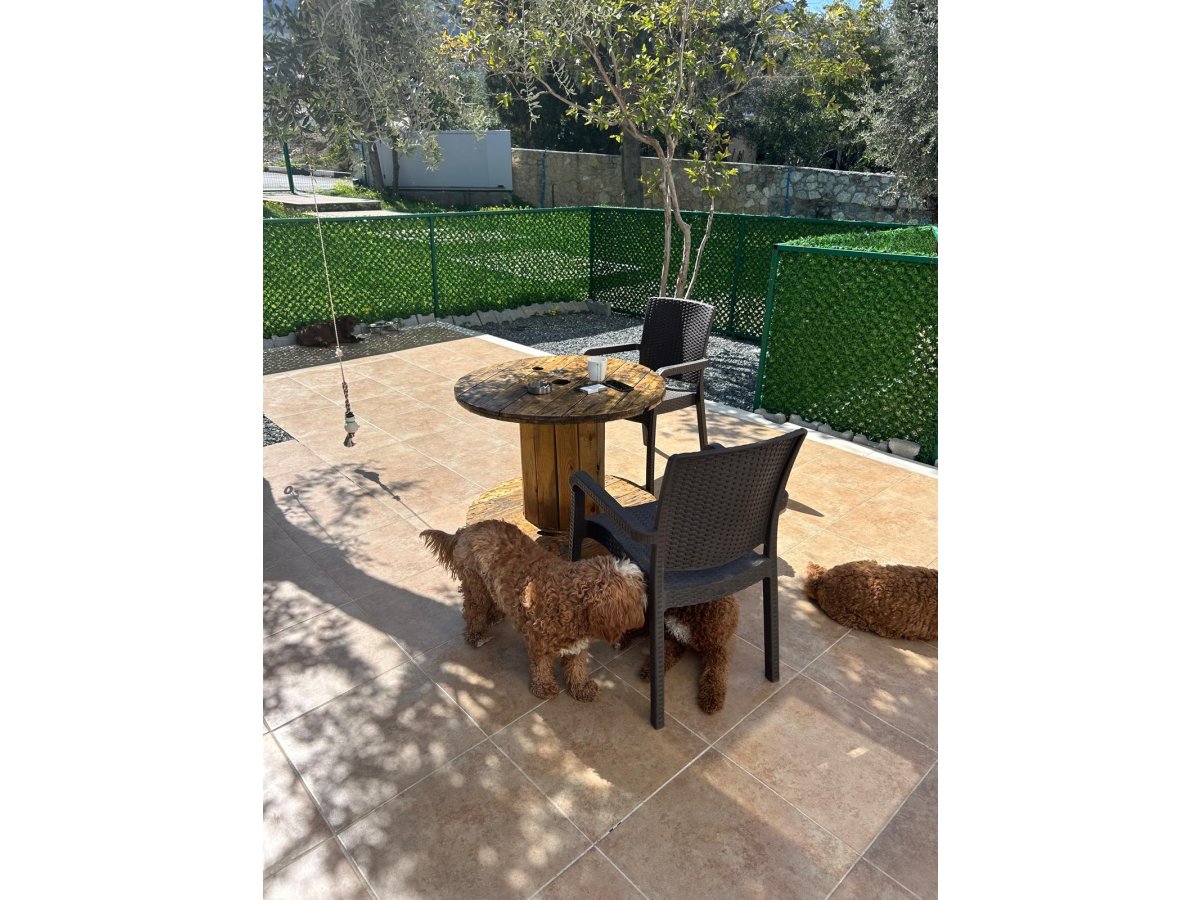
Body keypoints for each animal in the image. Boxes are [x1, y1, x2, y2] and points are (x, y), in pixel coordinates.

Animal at [420, 520, 646, 702]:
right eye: (637, 591)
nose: (644, 613)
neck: (570, 599)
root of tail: (467, 529)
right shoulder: (539, 643)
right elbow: (542, 666)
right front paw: (544, 687)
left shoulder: (577, 645)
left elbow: (577, 667)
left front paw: (581, 688)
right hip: (474, 585)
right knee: (473, 610)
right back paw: (476, 634)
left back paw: (495, 615)